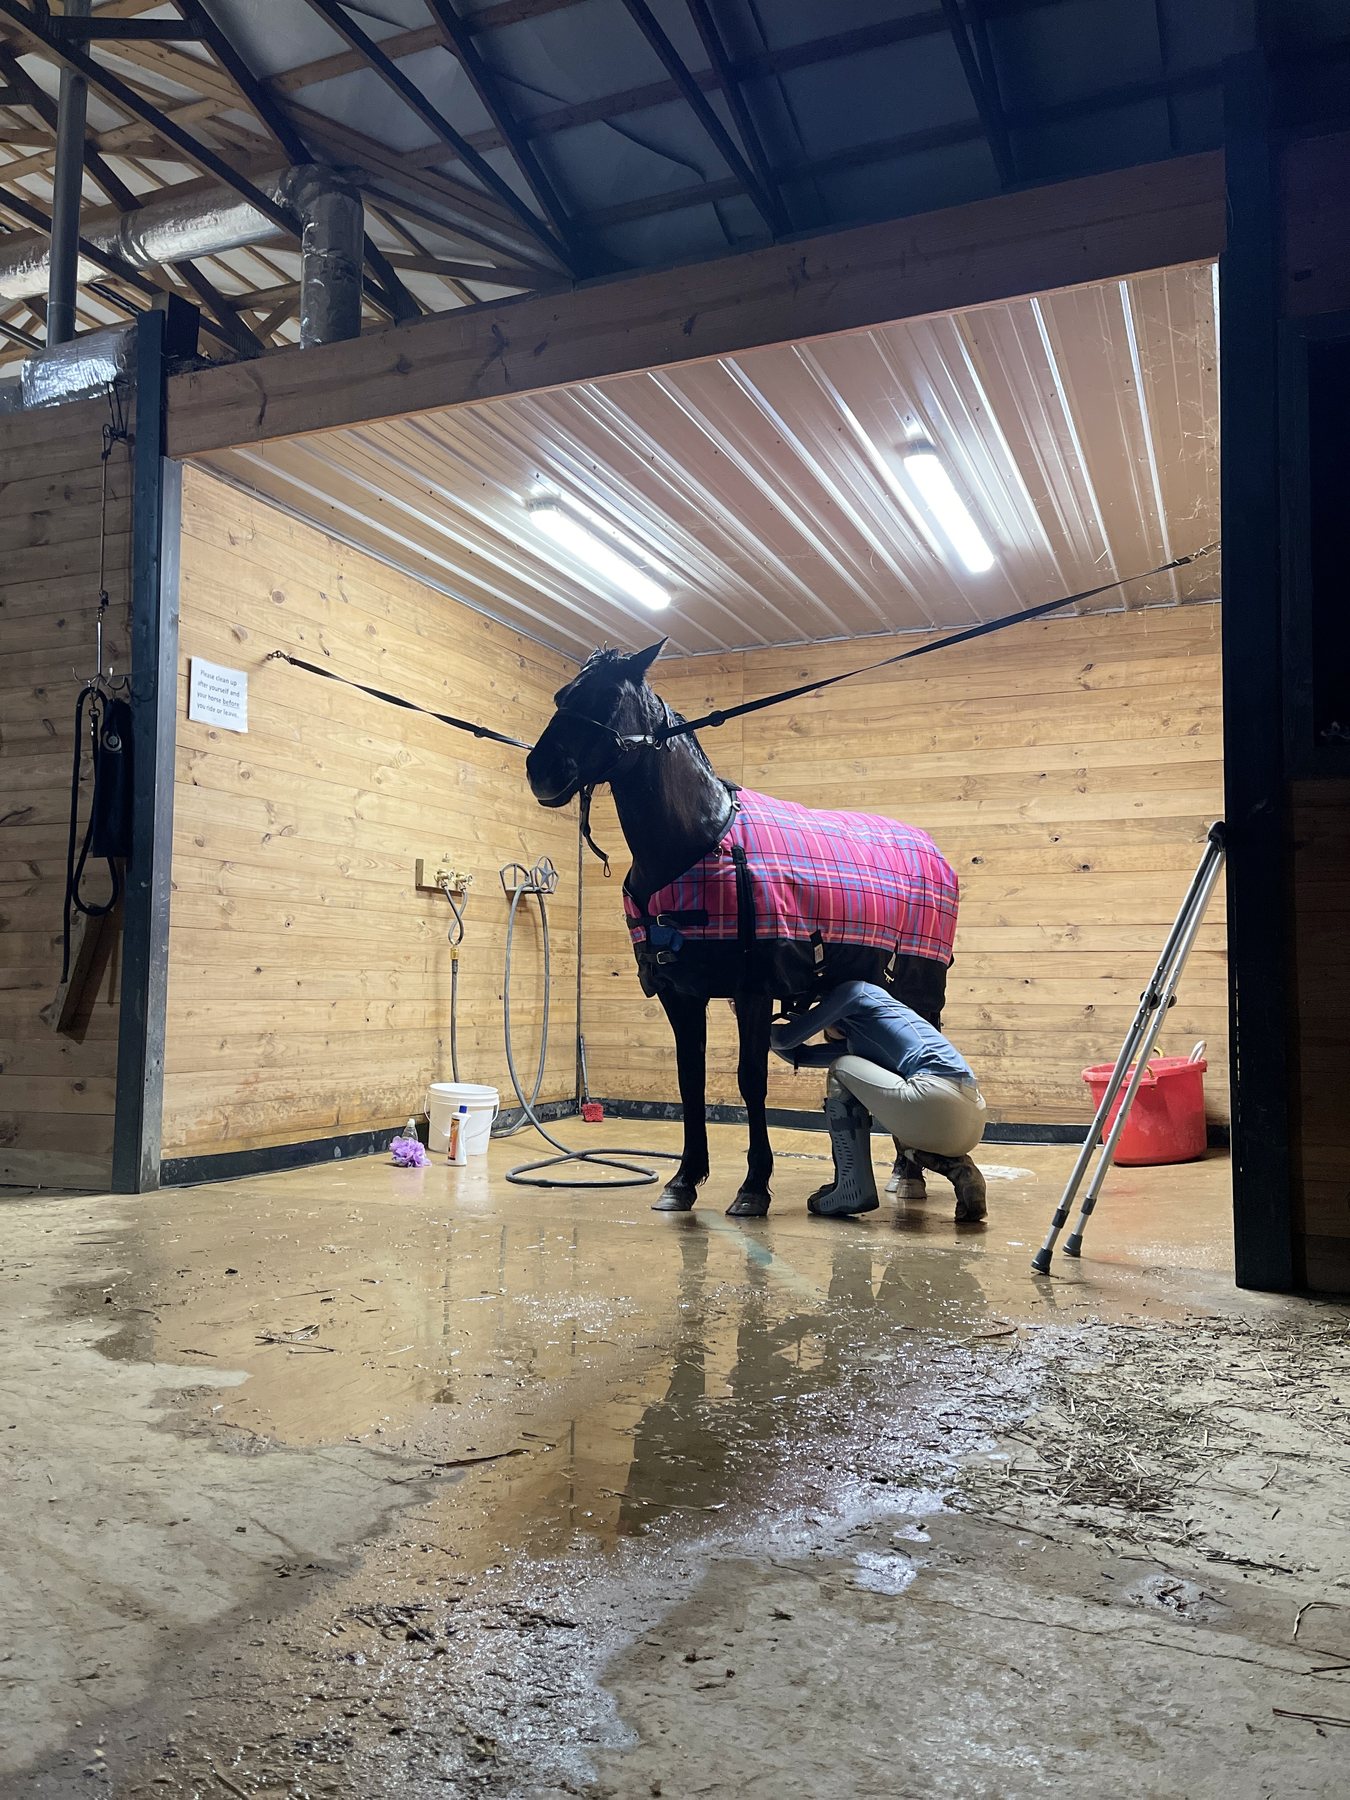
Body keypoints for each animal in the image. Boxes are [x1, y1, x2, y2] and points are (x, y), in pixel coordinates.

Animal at [526, 640, 959, 1218]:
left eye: (608, 697)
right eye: (562, 695)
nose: (541, 769)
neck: (699, 843)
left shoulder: (753, 991)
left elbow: (750, 1082)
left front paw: (754, 1186)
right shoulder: (681, 995)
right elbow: (690, 1081)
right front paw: (684, 1180)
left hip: (919, 988)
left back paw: (909, 1174)